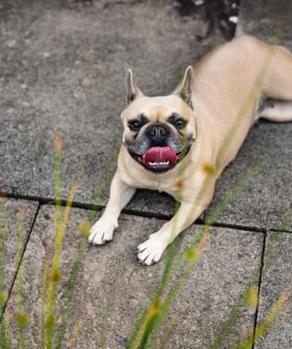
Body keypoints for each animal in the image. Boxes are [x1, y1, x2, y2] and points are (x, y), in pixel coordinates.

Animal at [88, 36, 292, 264]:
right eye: (135, 124)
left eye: (178, 122)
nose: (157, 130)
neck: (161, 175)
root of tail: (249, 39)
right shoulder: (122, 179)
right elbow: (113, 201)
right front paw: (103, 225)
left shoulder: (195, 203)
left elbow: (172, 224)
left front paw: (154, 245)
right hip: (278, 111)